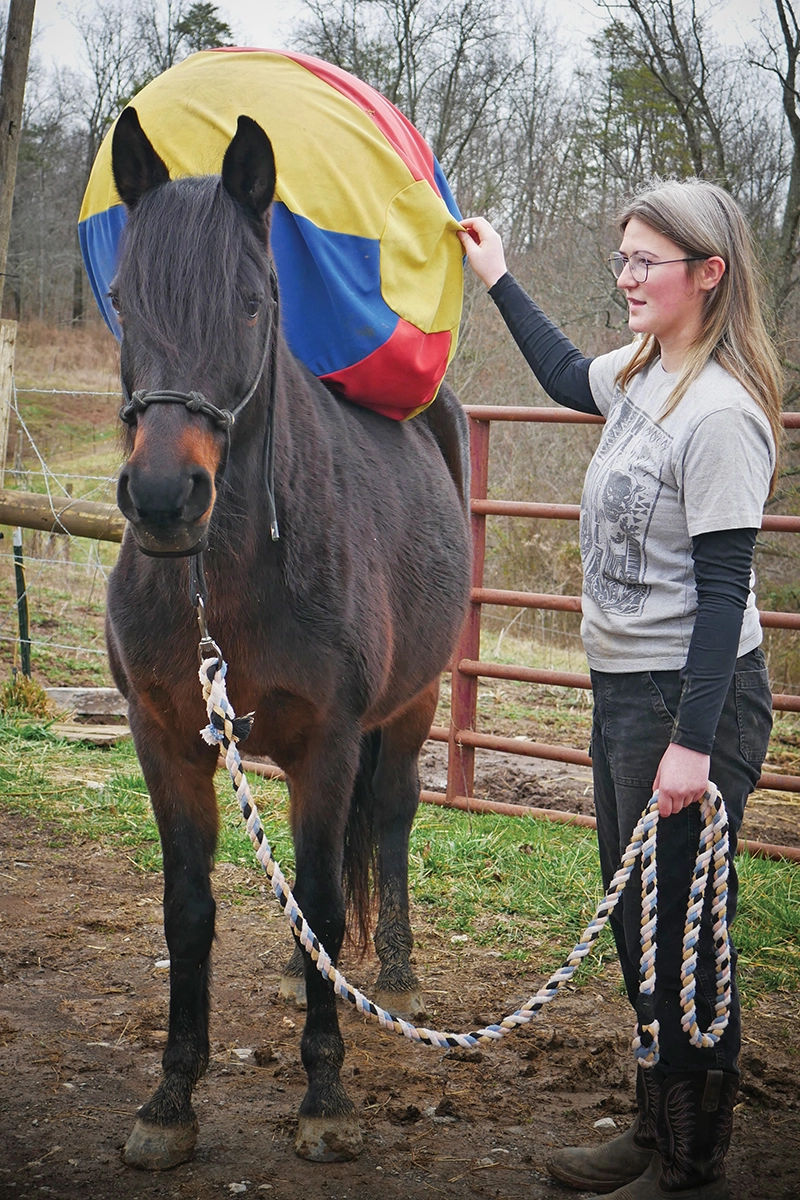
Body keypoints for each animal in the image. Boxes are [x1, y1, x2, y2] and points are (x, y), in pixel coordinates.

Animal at [104, 106, 472, 1170]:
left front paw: (326, 1098)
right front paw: (169, 1101)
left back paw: (395, 974)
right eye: (121, 298)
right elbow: (190, 910)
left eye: (253, 301)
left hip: (413, 707)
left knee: (387, 822)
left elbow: (328, 891)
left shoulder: (334, 740)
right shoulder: (167, 739)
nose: (163, 498)